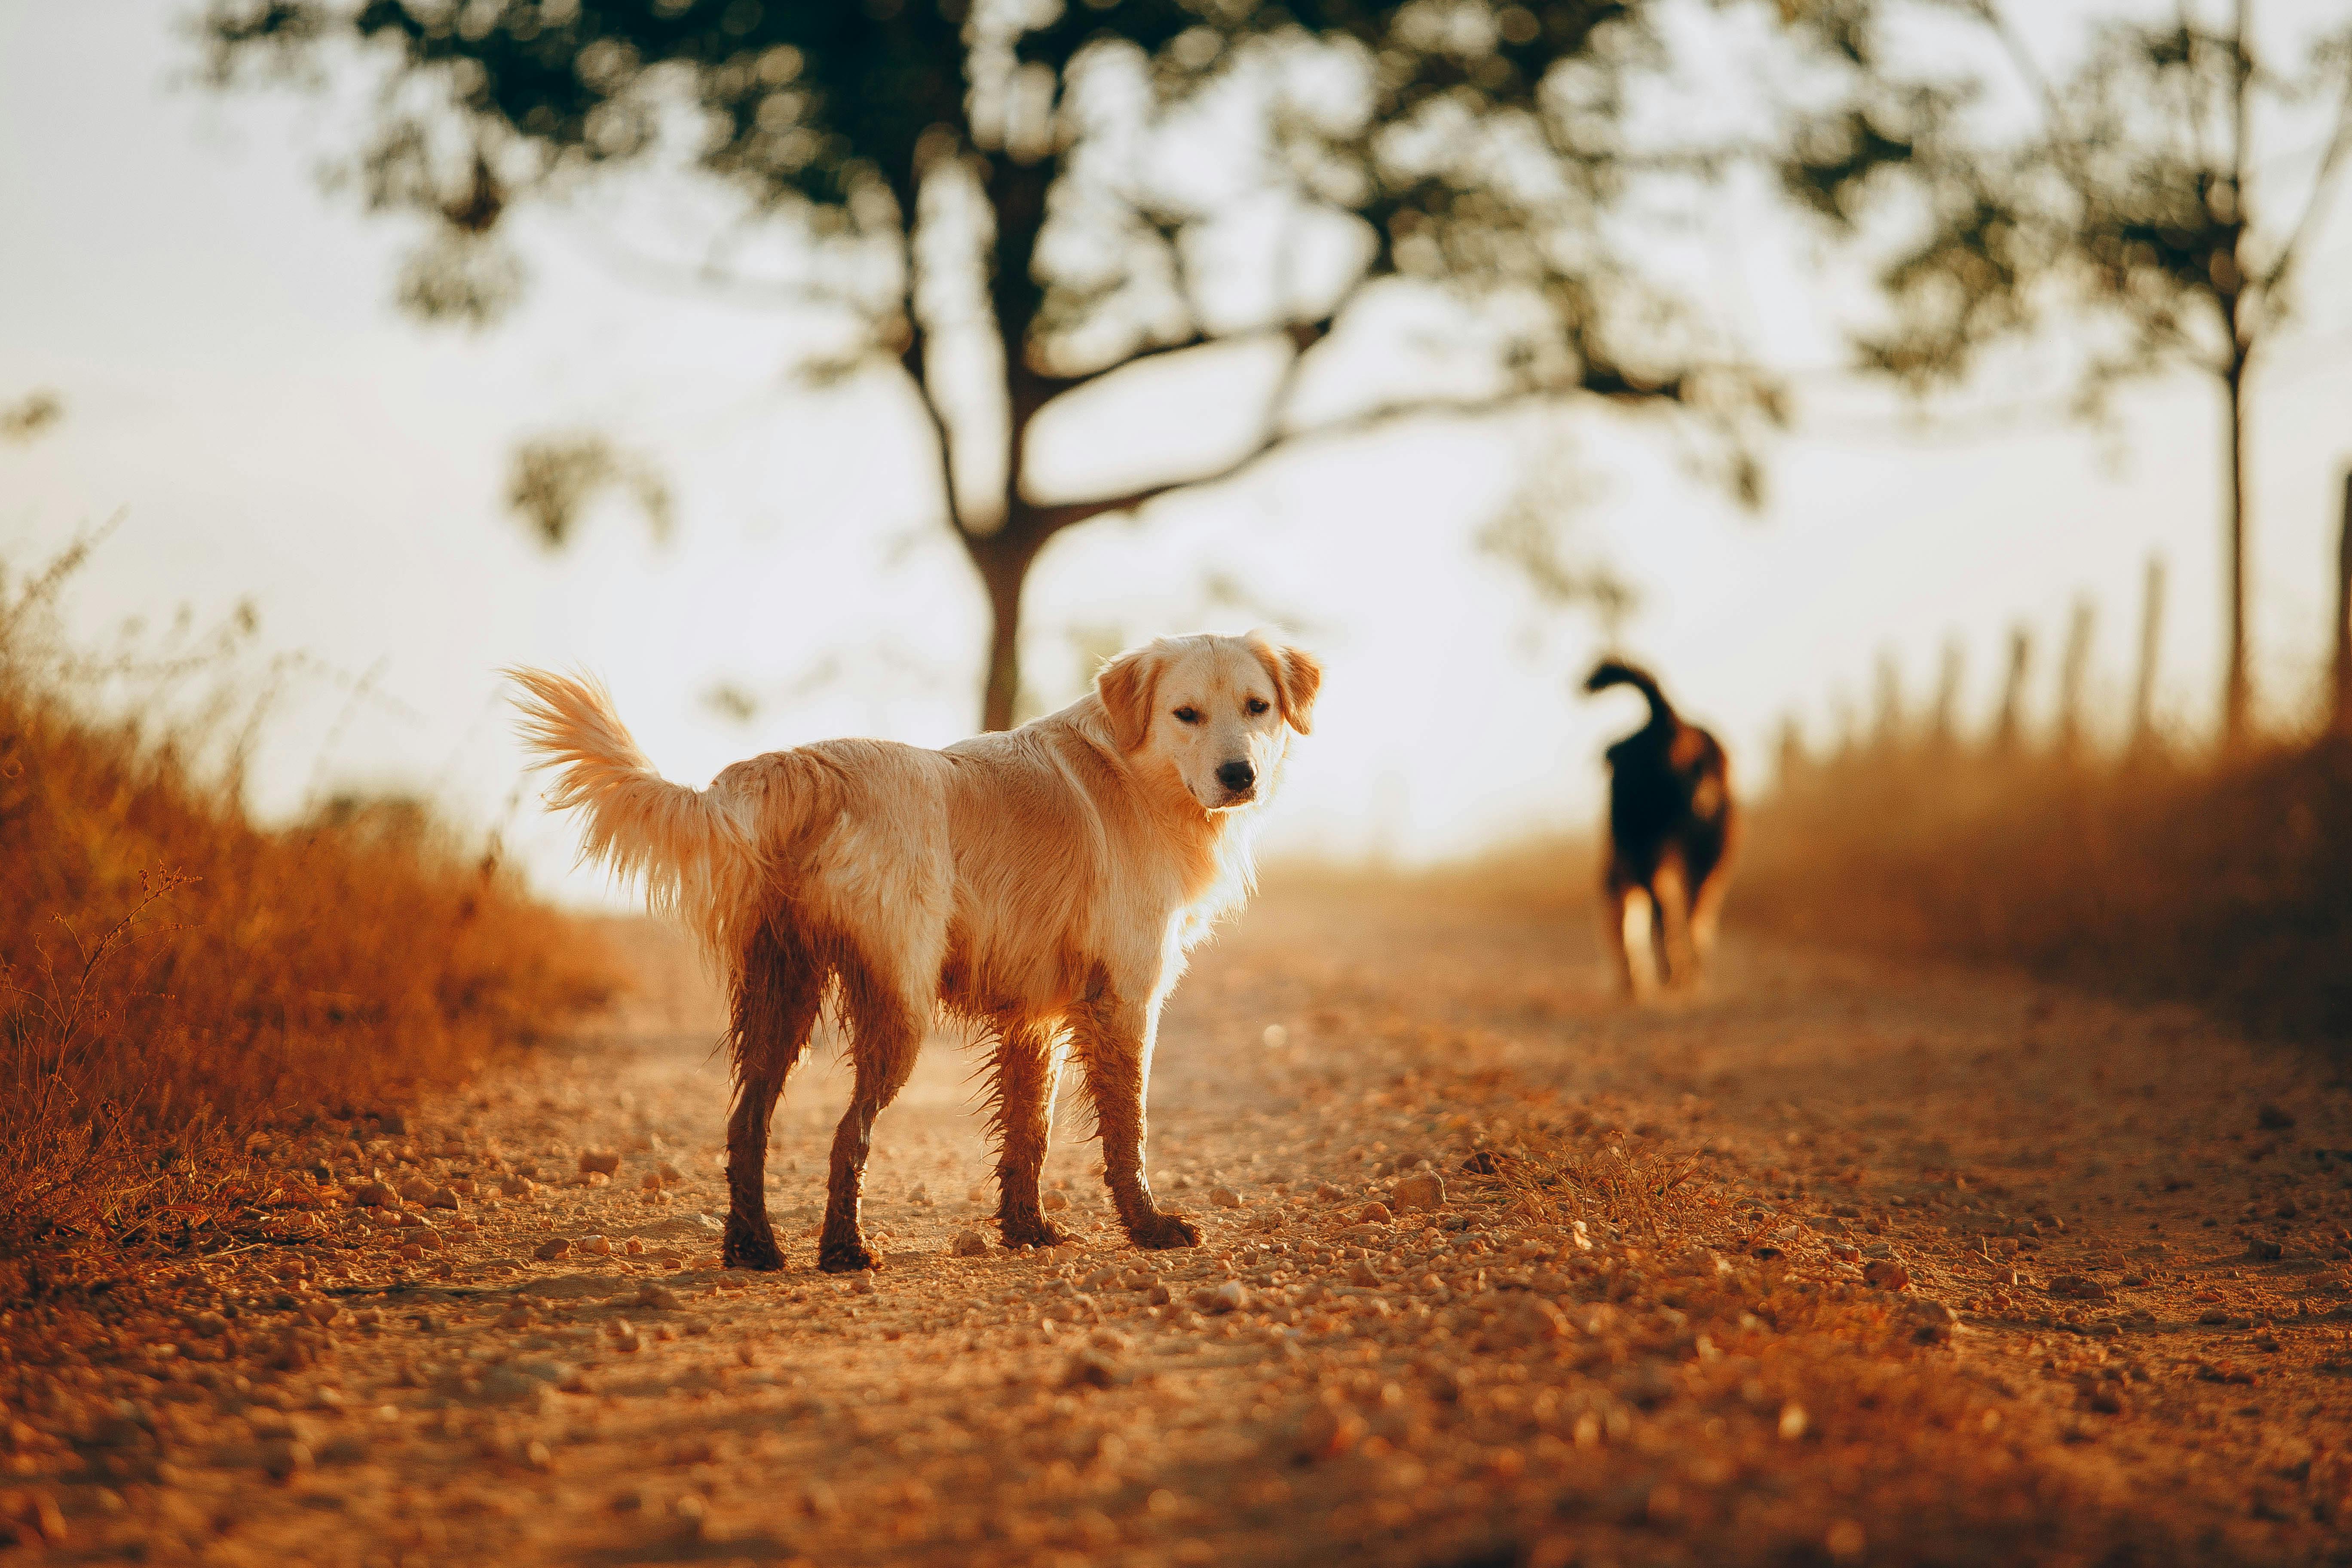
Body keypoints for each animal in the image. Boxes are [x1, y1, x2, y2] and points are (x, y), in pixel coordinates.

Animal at [512, 634, 1317, 1279]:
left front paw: (1027, 1230)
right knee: (849, 1133)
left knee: (747, 1122)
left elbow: (1029, 1131)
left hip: (782, 994)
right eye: (1186, 713)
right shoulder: (1125, 997)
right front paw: (1149, 1227)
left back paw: (754, 1247)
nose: (1239, 776)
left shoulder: (1033, 1017)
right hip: (897, 1007)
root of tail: (803, 767)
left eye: (1257, 707)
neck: (1134, 769)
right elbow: (1128, 1130)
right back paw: (842, 1251)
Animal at [1580, 658, 1731, 1001]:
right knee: (1695, 915)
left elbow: (1628, 935)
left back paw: (1672, 973)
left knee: (1667, 915)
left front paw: (1635, 982)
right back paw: (1688, 974)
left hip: (1650, 851)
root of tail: (1668, 723)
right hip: (1713, 853)